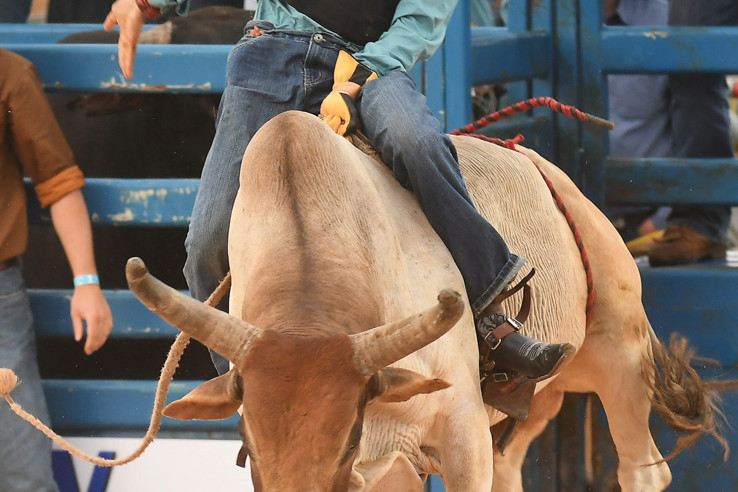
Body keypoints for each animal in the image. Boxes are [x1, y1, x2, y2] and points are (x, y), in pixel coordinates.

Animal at [126, 110, 720, 492]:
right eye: (248, 437)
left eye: (346, 440)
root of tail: (532, 158)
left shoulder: (462, 436)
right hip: (528, 402)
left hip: (619, 349)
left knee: (643, 469)